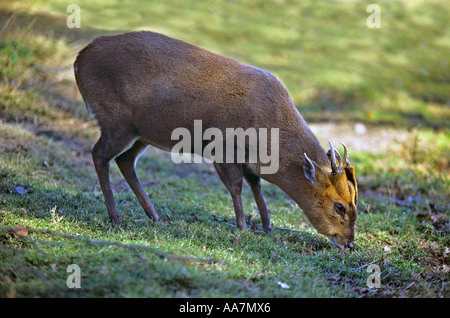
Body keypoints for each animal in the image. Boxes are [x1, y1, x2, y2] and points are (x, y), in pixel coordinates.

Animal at [74, 31, 358, 250]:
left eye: (356, 203)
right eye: (339, 206)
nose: (349, 243)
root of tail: (79, 60)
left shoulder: (247, 159)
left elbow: (255, 184)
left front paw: (267, 226)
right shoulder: (222, 147)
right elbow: (236, 186)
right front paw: (243, 227)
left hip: (141, 132)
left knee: (124, 160)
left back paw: (153, 215)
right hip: (115, 121)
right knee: (99, 154)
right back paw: (116, 217)